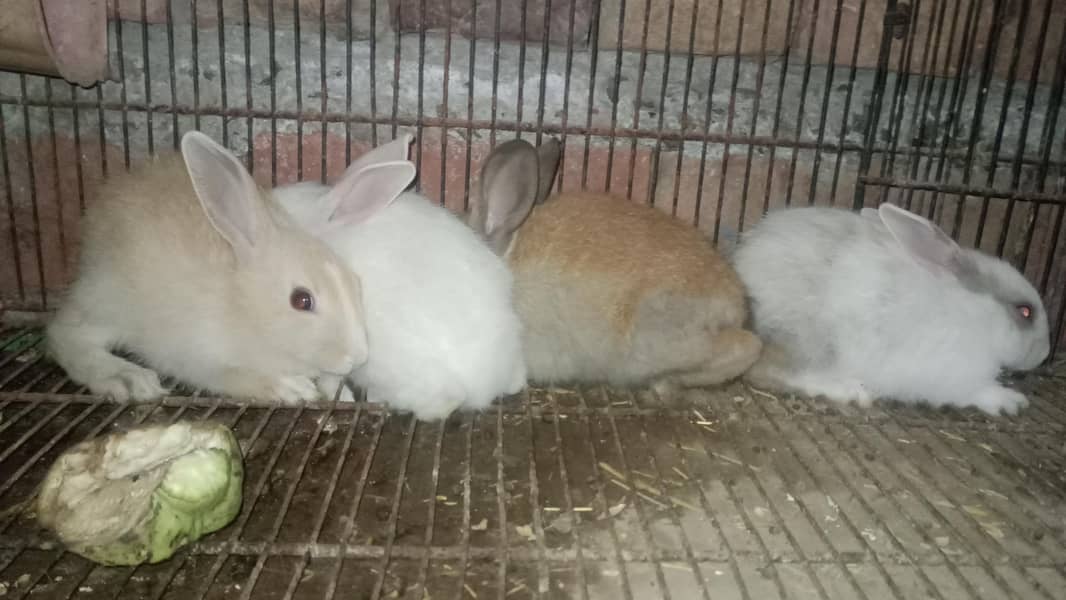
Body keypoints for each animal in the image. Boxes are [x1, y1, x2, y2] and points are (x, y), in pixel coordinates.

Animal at [46, 131, 369, 404]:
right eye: (301, 300)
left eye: (355, 282)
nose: (359, 356)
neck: (241, 306)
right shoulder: (199, 357)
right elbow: (237, 376)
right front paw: (293, 388)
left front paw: (341, 395)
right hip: (109, 303)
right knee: (63, 335)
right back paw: (128, 378)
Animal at [730, 202, 1051, 415]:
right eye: (1025, 311)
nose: (1046, 352)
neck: (977, 316)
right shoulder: (951, 373)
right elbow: (978, 390)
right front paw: (1011, 401)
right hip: (809, 342)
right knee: (773, 372)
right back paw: (848, 390)